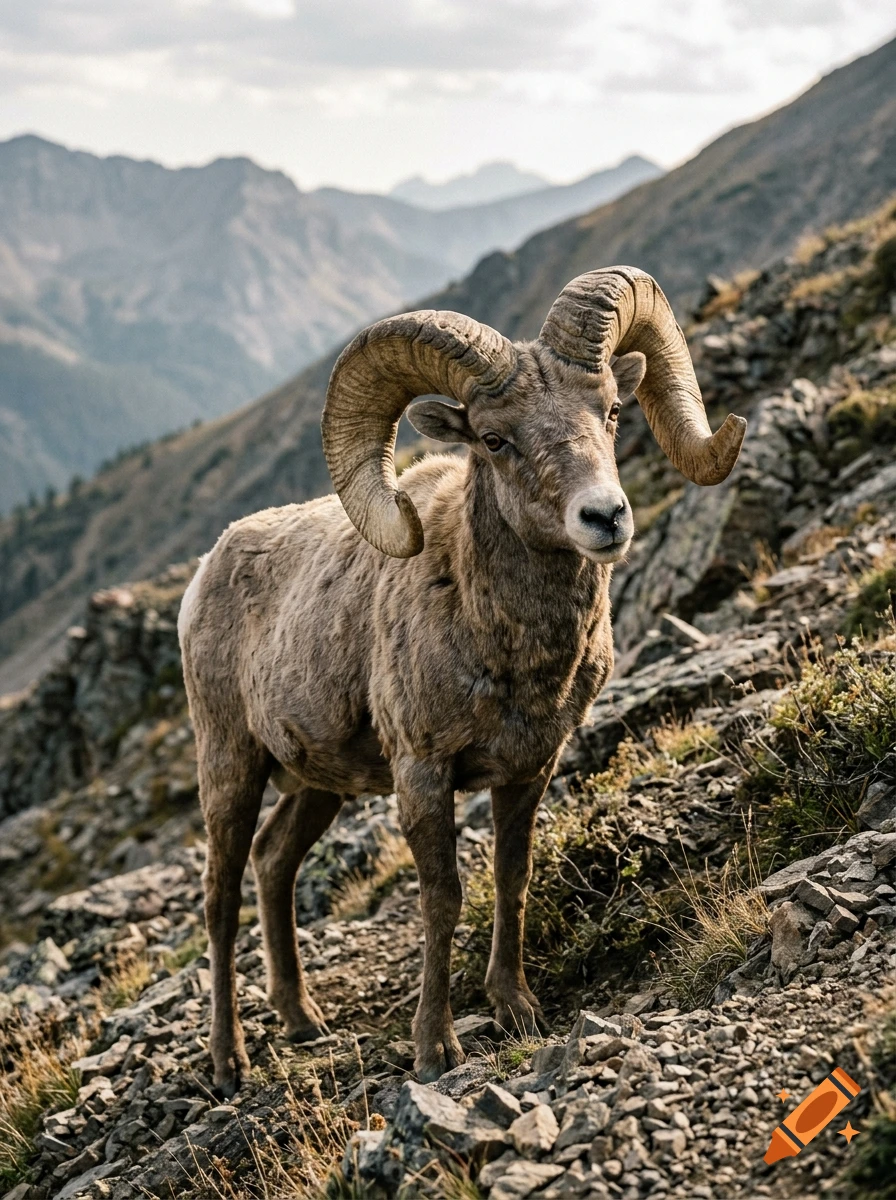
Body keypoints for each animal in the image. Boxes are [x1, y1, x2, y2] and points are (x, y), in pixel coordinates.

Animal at [178, 265, 746, 1094]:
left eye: (611, 410)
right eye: (496, 438)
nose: (604, 517)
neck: (507, 647)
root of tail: (205, 572)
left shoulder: (530, 768)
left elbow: (512, 876)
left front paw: (518, 1009)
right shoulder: (424, 773)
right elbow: (443, 898)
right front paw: (434, 1048)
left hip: (316, 785)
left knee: (274, 862)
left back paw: (303, 1021)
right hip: (231, 766)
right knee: (220, 901)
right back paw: (229, 1061)